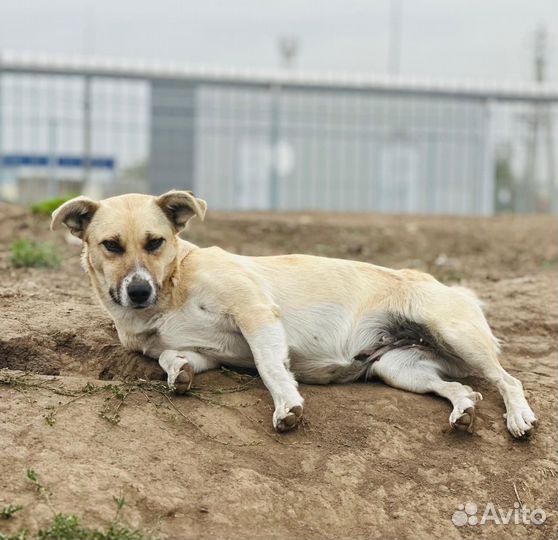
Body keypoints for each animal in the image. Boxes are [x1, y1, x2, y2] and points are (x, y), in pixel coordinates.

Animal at [51, 192, 540, 436]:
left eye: (155, 242)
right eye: (111, 246)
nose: (138, 291)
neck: (172, 288)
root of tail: (452, 288)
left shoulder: (256, 313)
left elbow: (271, 367)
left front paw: (288, 405)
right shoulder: (201, 351)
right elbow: (174, 357)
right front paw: (179, 375)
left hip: (455, 335)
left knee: (508, 380)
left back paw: (518, 418)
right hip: (402, 370)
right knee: (461, 388)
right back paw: (463, 411)